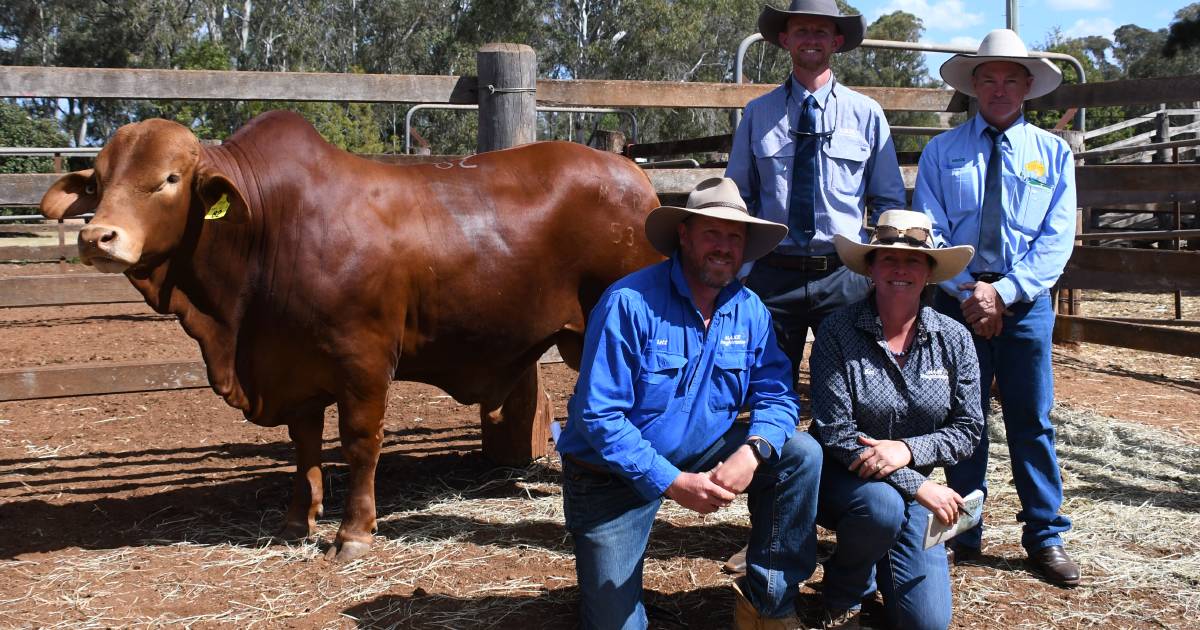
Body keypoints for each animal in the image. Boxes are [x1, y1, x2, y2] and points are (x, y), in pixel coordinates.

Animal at [39, 110, 657, 556]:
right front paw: (297, 519)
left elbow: (360, 443)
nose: (97, 237)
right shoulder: (293, 367)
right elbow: (305, 444)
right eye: (98, 182)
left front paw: (353, 532)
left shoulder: (363, 362)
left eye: (169, 180)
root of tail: (633, 176)